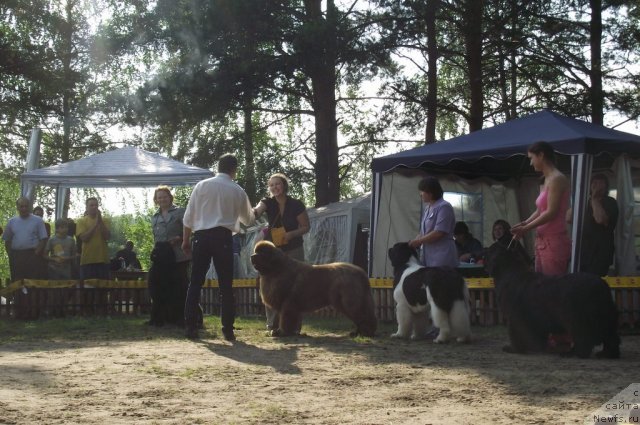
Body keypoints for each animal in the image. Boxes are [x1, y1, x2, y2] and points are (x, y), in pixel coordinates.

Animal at [250, 240, 378, 336]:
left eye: (261, 253)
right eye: (255, 251)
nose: (252, 256)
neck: (276, 270)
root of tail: (360, 272)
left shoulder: (288, 303)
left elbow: (285, 319)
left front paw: (282, 332)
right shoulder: (282, 303)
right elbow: (278, 318)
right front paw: (276, 330)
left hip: (349, 302)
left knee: (362, 315)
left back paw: (366, 332)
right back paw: (357, 333)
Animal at [484, 242, 620, 358]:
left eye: (490, 250)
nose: (483, 249)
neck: (508, 272)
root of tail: (601, 285)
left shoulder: (514, 317)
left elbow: (515, 334)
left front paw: (514, 349)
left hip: (577, 318)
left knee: (584, 338)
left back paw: (573, 353)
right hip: (605, 317)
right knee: (611, 337)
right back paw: (607, 354)